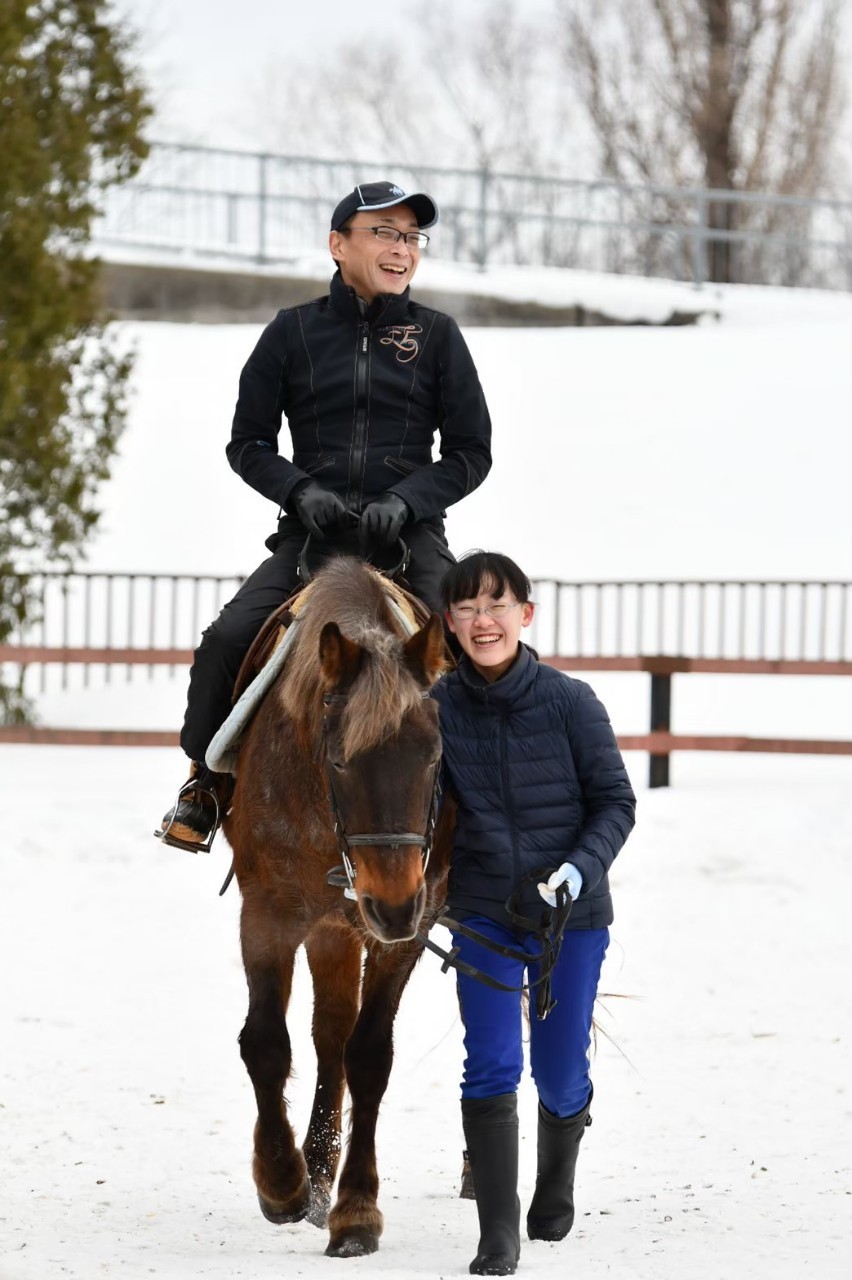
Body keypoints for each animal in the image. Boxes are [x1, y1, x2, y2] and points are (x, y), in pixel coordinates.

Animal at [222, 555, 452, 1258]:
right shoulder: (266, 916)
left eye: (434, 754)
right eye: (341, 759)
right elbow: (265, 1043)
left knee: (335, 1038)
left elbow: (368, 1055)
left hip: (345, 927)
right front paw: (281, 1182)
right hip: (329, 926)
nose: (391, 902)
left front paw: (355, 1209)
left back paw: (326, 1176)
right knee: (324, 1034)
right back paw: (309, 1175)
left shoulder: (406, 930)